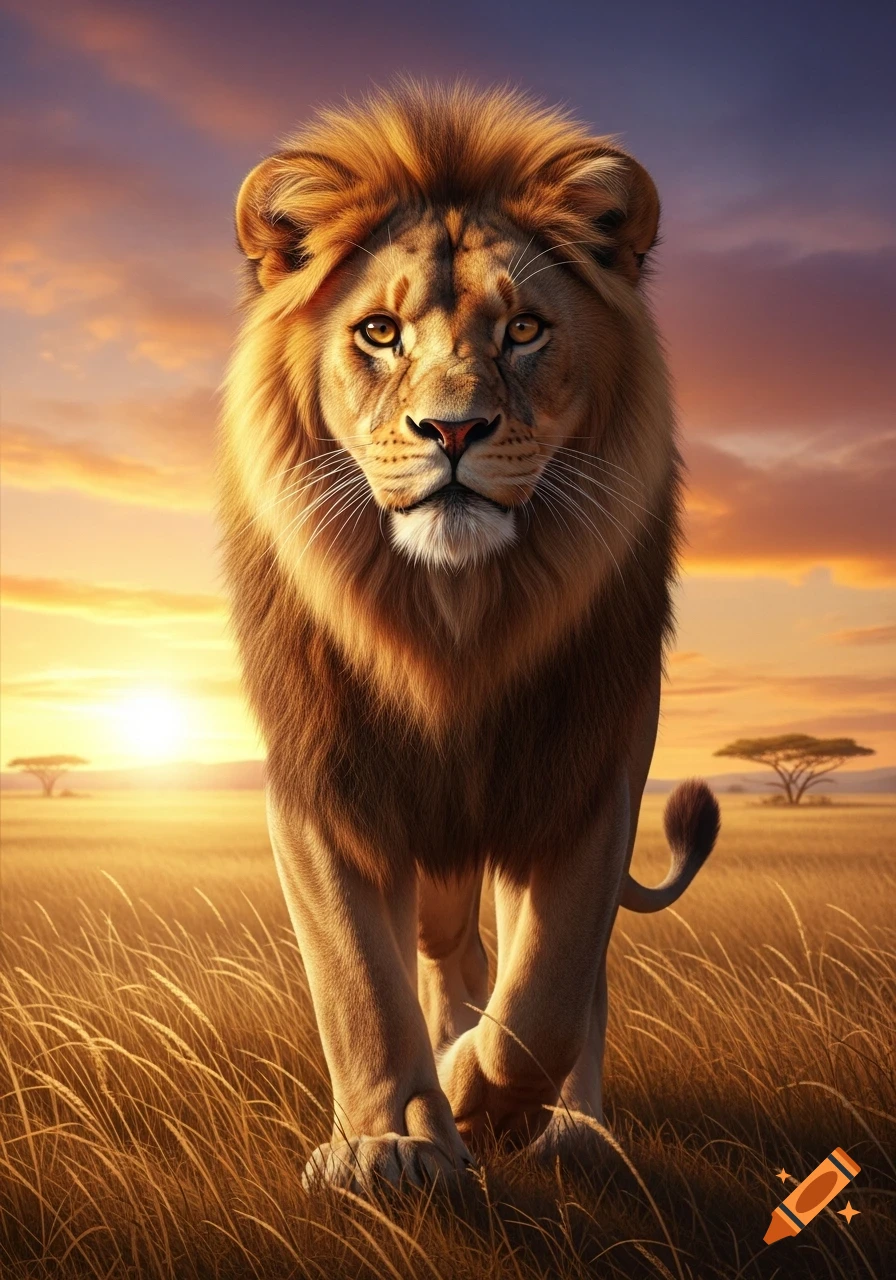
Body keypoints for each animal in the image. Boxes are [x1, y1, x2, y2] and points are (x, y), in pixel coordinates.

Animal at [219, 76, 720, 1192]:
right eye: (378, 334)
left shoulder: (590, 776)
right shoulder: (321, 784)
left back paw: (578, 1132)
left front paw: (468, 1085)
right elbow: (359, 982)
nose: (452, 430)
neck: (453, 621)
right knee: (442, 949)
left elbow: (544, 1003)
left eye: (524, 328)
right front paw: (393, 1142)